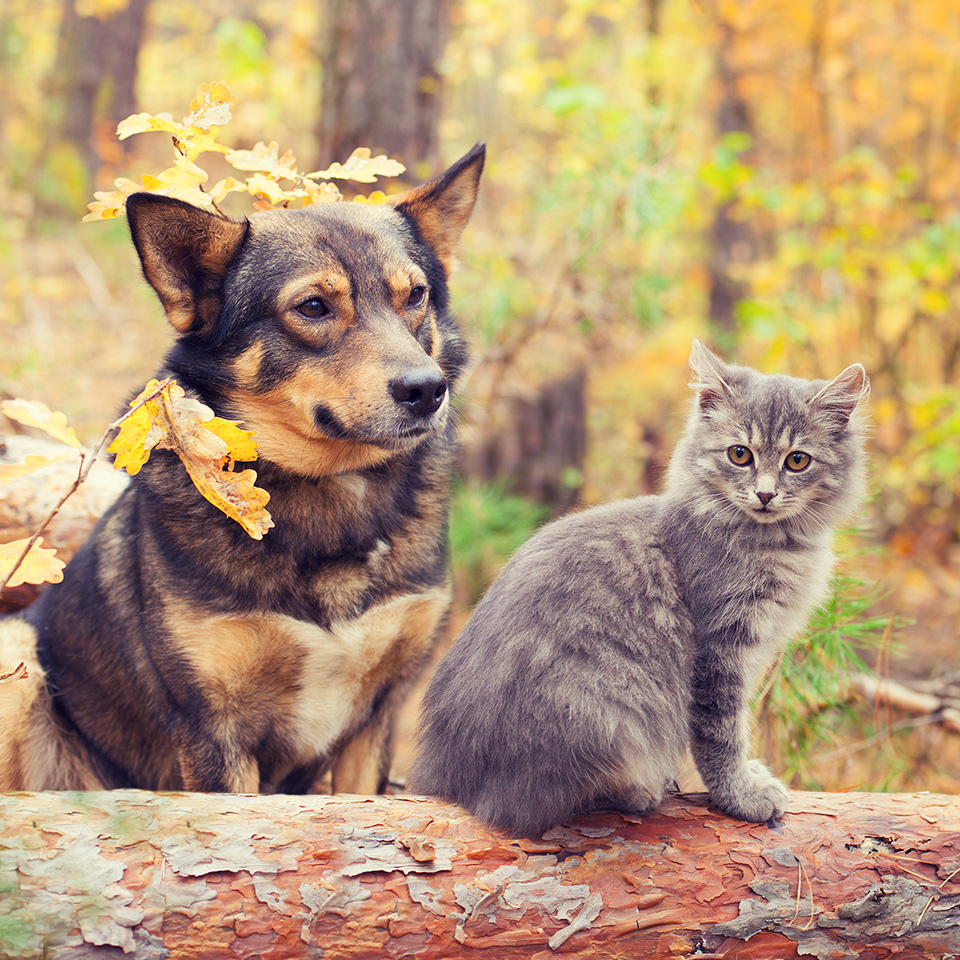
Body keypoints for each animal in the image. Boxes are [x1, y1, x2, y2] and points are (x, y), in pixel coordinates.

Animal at [0, 139, 480, 792]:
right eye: (313, 307)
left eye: (415, 296)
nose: (427, 390)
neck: (331, 488)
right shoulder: (213, 730)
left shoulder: (375, 721)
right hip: (17, 652)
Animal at [412, 340, 872, 832]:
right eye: (740, 455)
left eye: (797, 461)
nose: (765, 495)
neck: (771, 543)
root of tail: (446, 777)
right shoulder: (719, 651)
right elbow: (722, 734)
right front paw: (741, 796)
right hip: (604, 707)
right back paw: (639, 791)